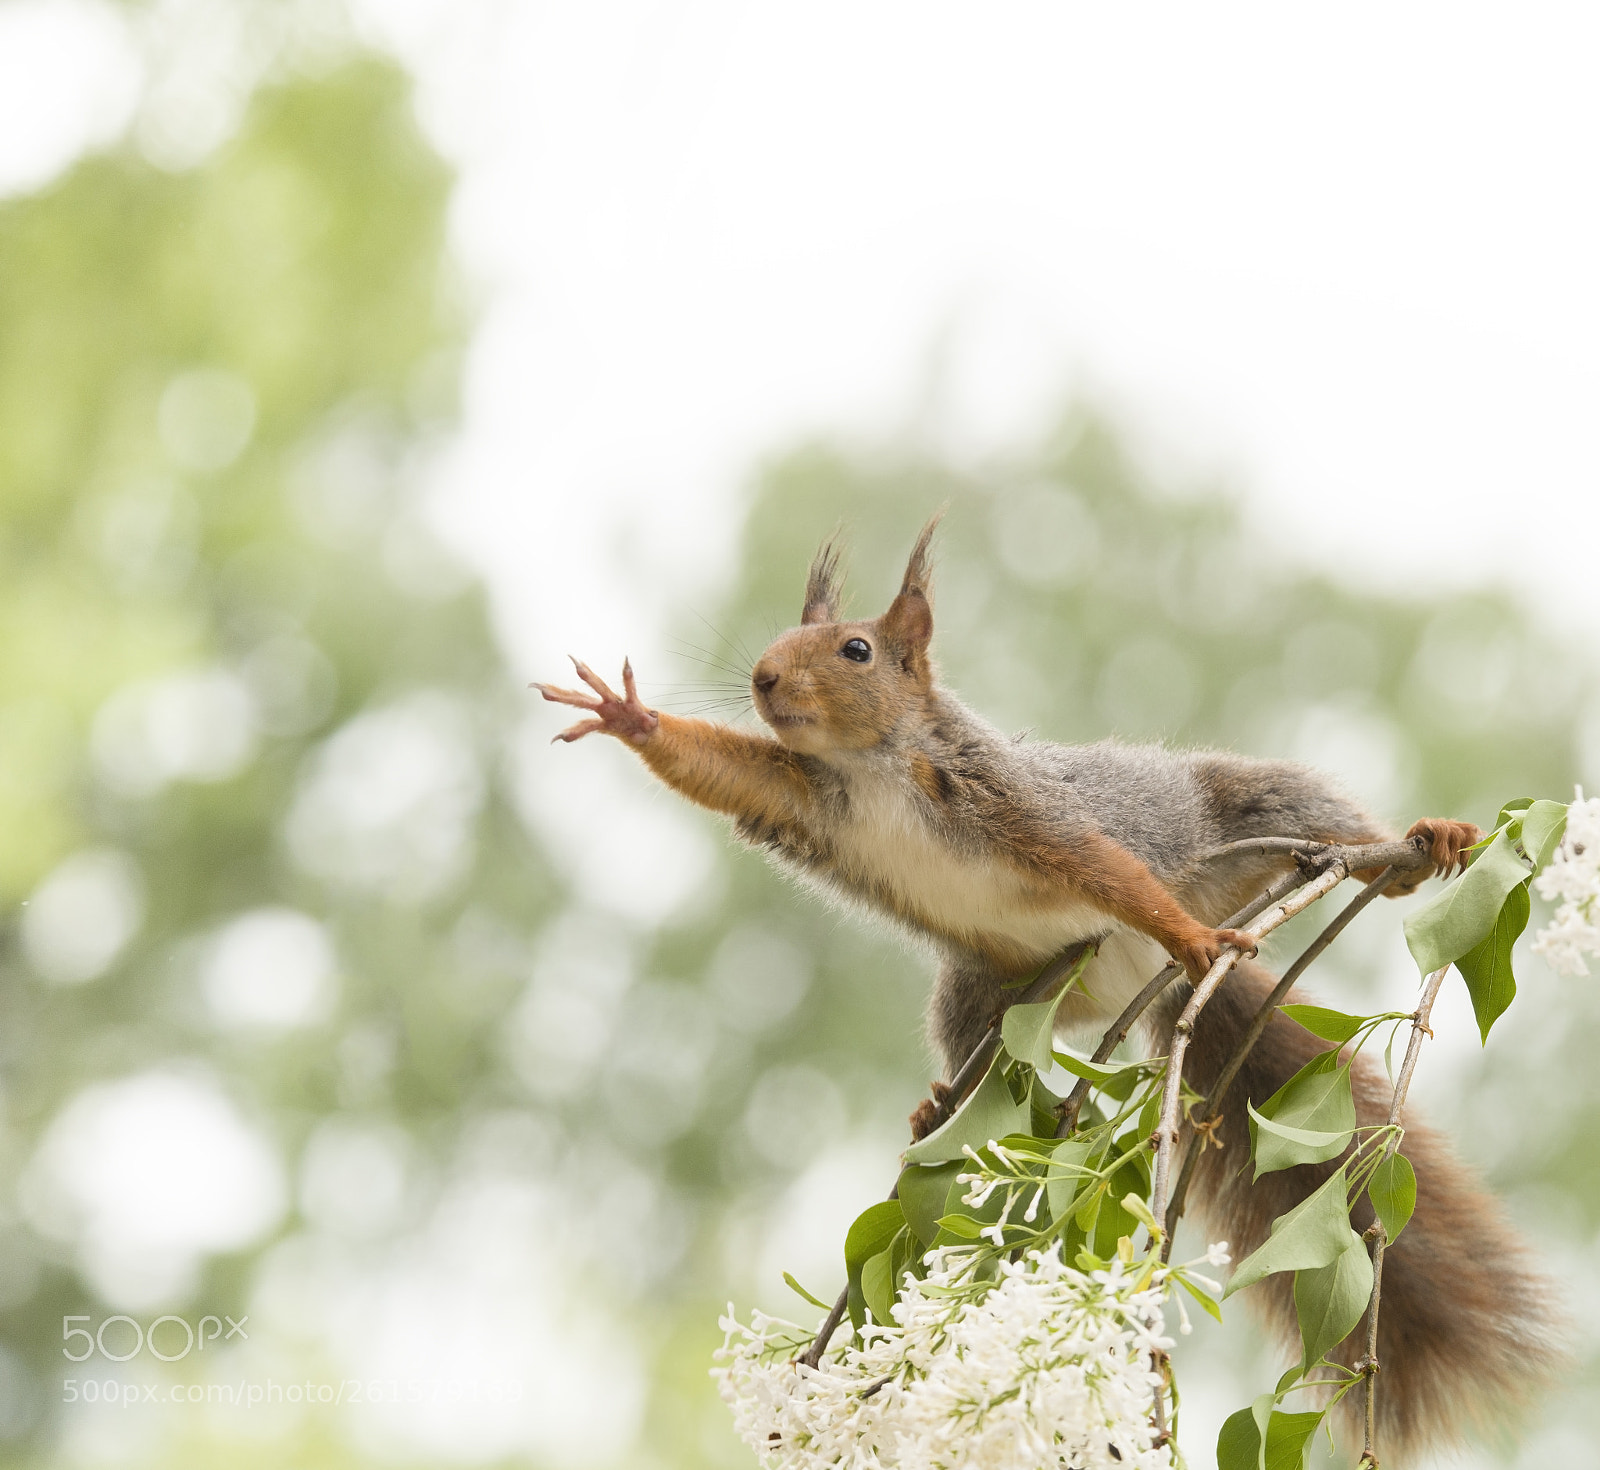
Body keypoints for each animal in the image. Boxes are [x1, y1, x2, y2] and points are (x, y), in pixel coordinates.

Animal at [535, 517, 1558, 1458]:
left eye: (854, 649)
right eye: (784, 643)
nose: (761, 681)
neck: (872, 762)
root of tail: (1139, 983)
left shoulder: (1018, 804)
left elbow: (1100, 862)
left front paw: (1194, 936)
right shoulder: (798, 794)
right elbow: (721, 766)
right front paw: (630, 717)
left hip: (1255, 818)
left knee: (1329, 830)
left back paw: (1411, 849)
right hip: (990, 990)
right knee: (983, 1051)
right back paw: (945, 1104)